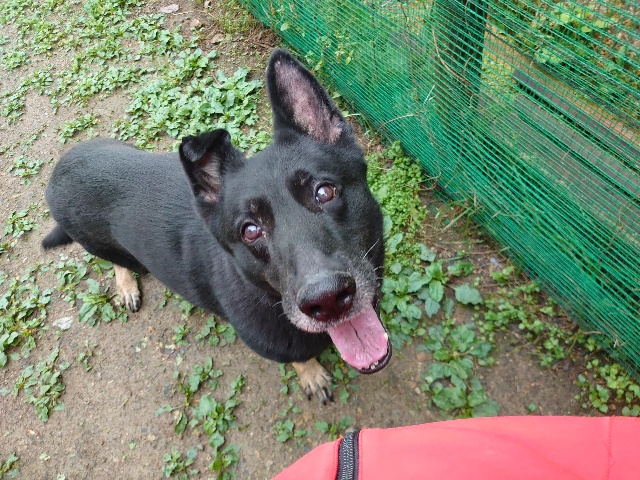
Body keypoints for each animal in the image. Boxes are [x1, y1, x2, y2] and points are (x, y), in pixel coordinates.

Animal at [42, 49, 391, 402]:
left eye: (324, 192)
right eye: (250, 230)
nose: (327, 299)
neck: (267, 298)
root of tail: (59, 171)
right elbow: (301, 359)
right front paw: (312, 375)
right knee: (118, 262)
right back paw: (126, 285)